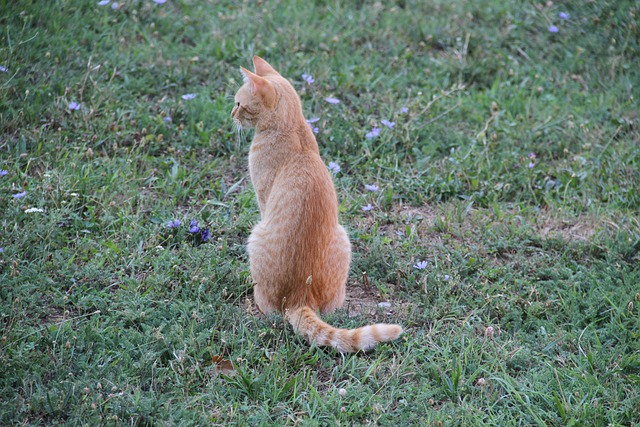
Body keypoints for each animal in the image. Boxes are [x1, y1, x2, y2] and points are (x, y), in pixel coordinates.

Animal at [230, 55, 402, 352]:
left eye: (239, 103)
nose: (231, 114)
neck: (292, 127)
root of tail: (299, 297)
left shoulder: (263, 200)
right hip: (343, 239)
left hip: (257, 235)